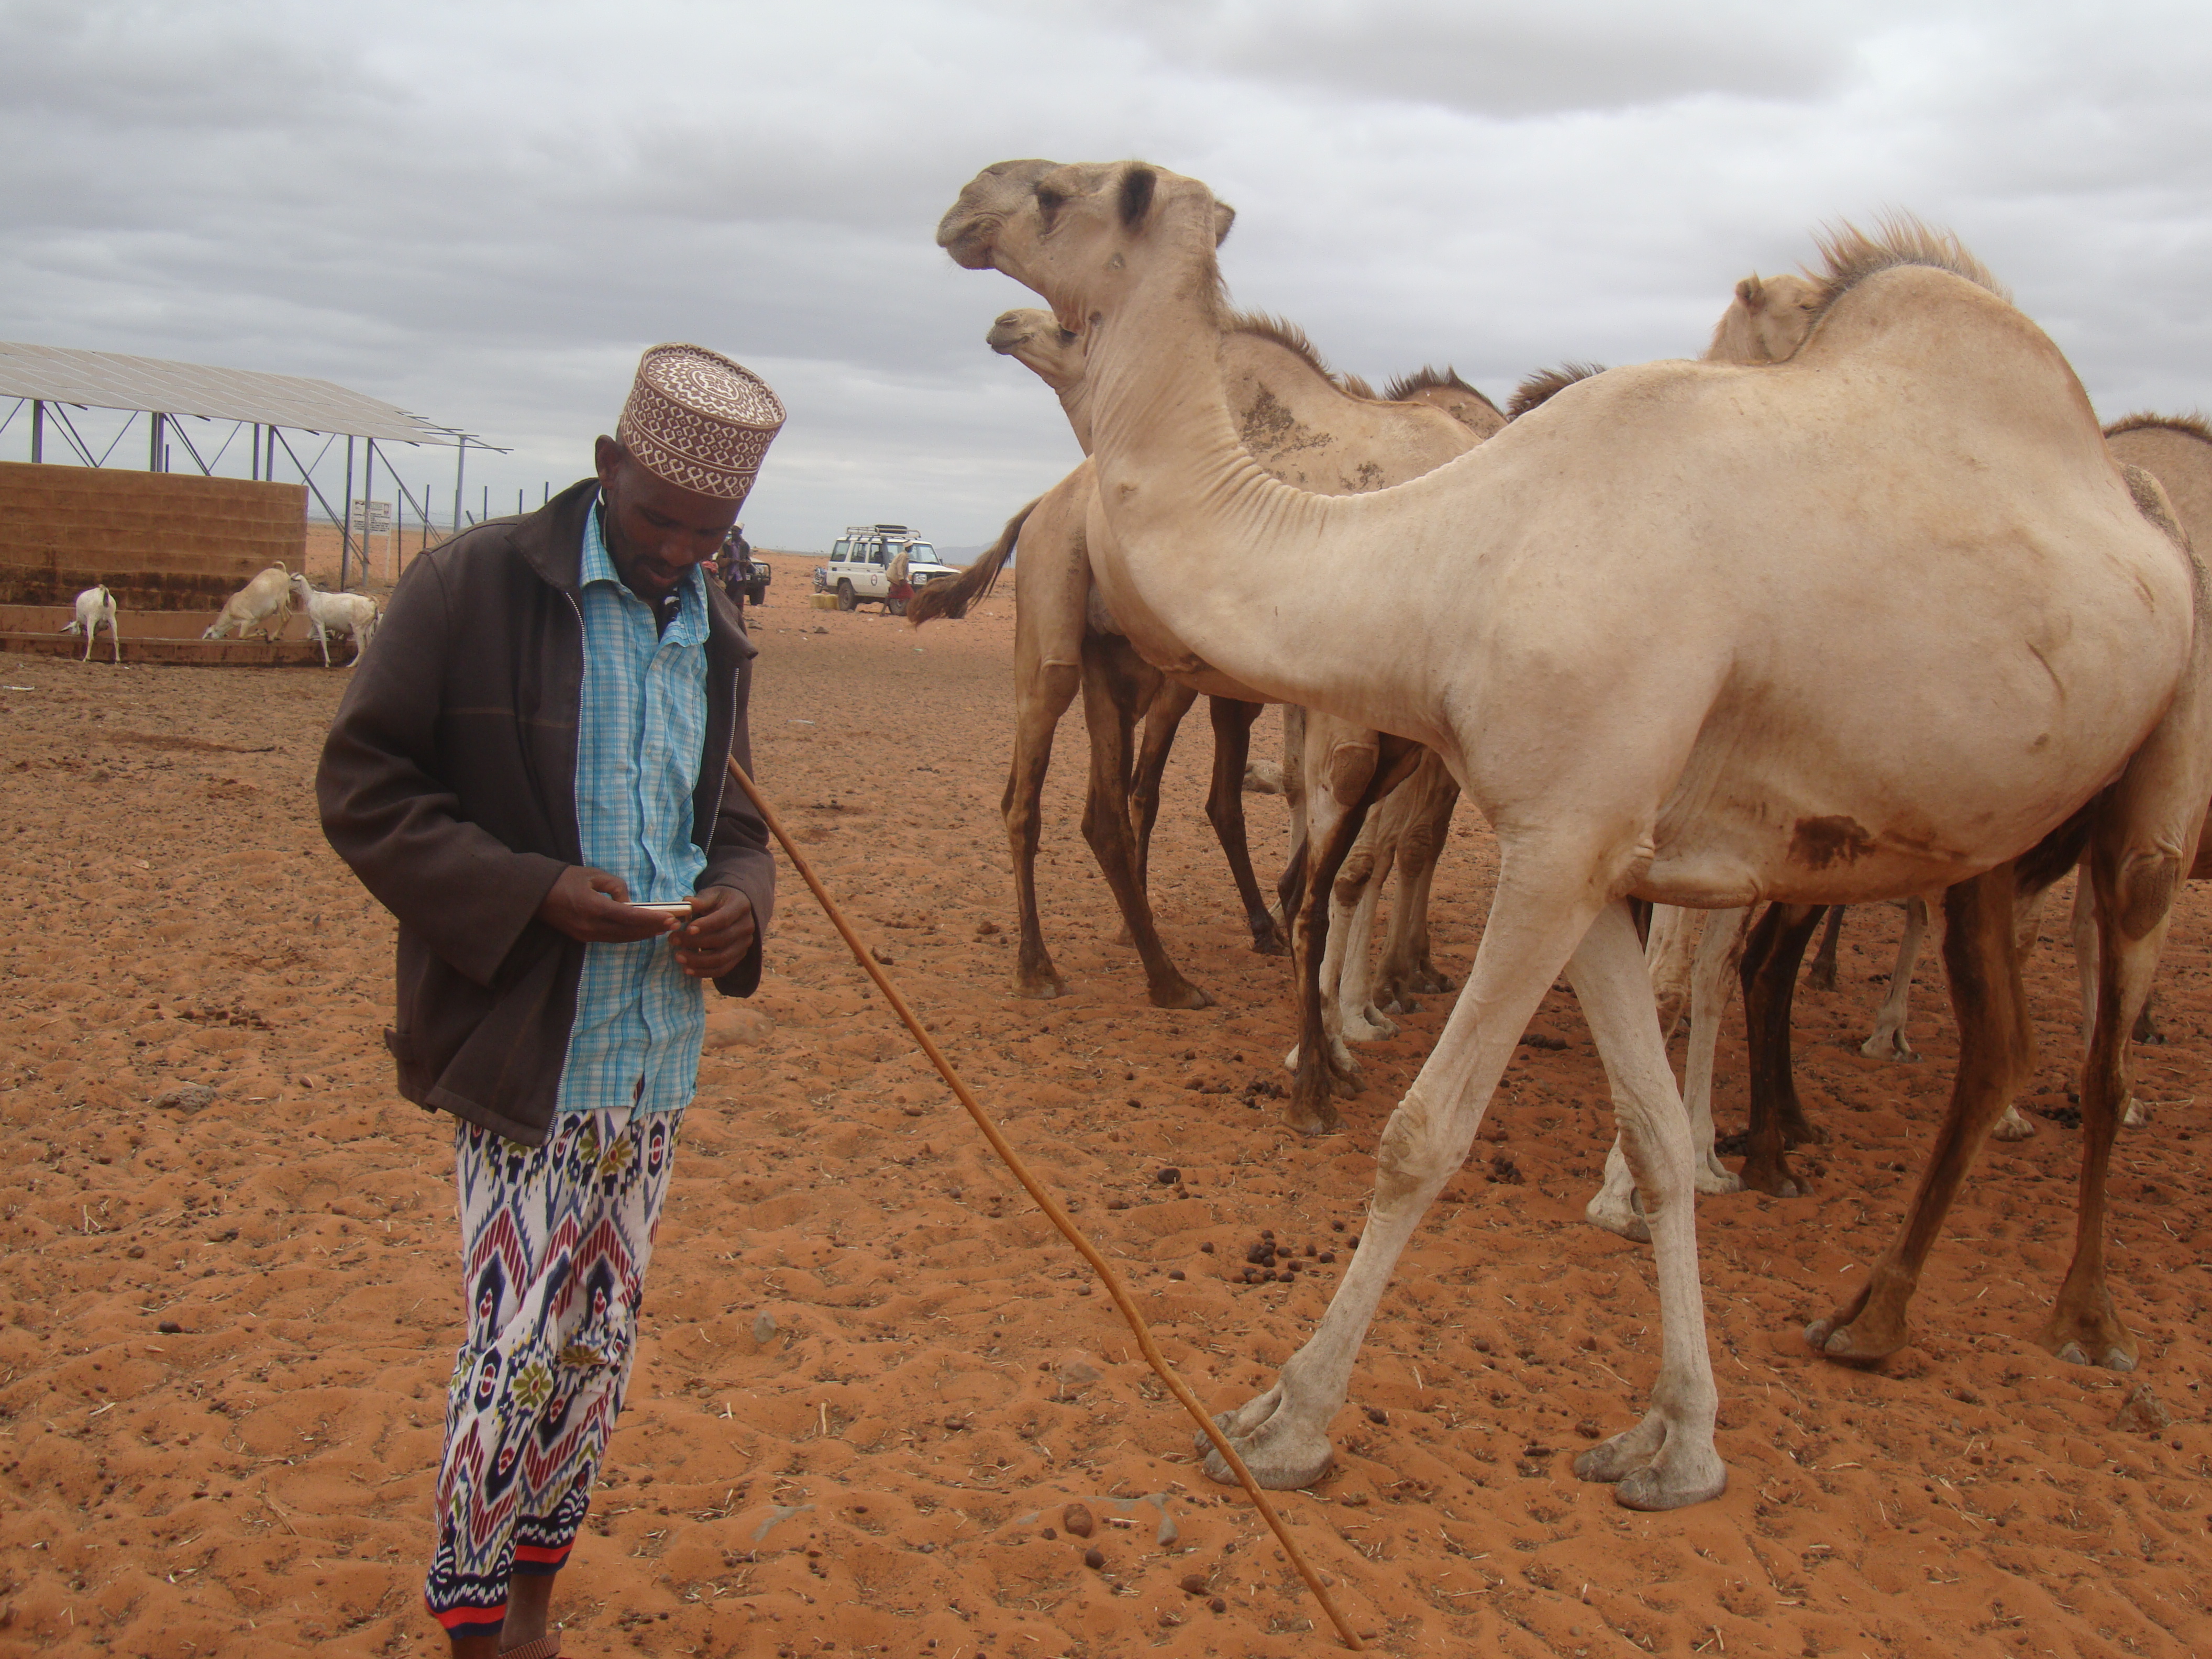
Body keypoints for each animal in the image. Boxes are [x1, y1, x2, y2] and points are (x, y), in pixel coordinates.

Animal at [915, 304, 1488, 1100]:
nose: (1007, 323)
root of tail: (1043, 503)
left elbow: (1353, 850)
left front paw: (1350, 1017)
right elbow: (1361, 856)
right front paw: (1347, 1029)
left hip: (1126, 666)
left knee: (1109, 810)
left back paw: (1169, 971)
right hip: (1056, 636)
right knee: (1031, 796)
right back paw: (1043, 969)